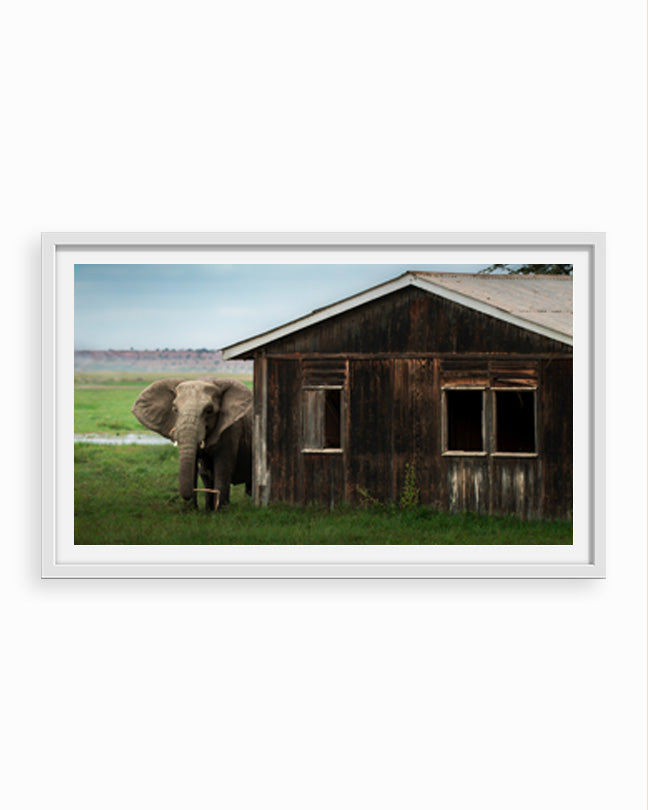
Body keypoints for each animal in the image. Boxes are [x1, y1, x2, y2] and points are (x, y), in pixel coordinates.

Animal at [132, 378, 252, 511]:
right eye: (175, 409)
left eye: (209, 411)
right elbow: (198, 469)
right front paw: (193, 510)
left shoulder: (231, 429)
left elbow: (223, 468)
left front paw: (220, 510)